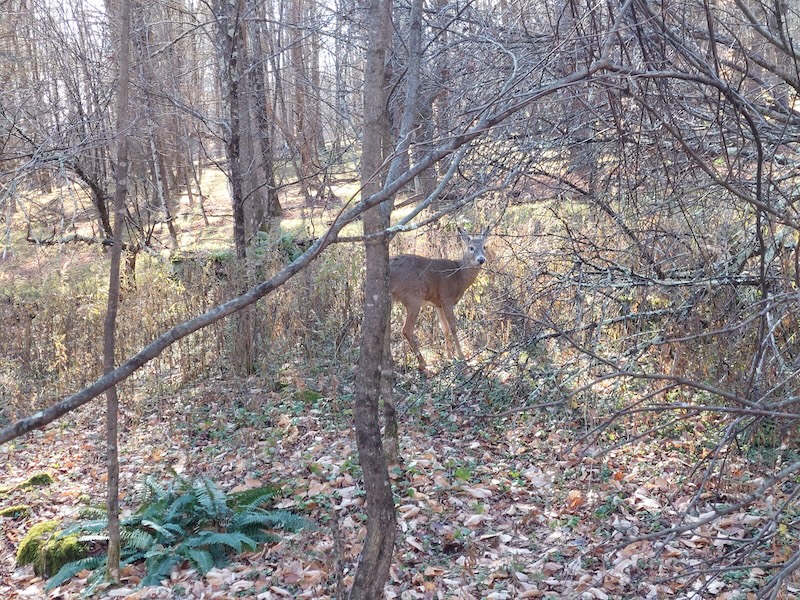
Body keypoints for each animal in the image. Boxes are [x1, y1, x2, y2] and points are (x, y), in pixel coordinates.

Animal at [389, 226, 489, 372]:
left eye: (484, 246)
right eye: (471, 248)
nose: (481, 259)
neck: (459, 275)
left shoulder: (438, 303)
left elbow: (444, 327)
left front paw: (449, 355)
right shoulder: (446, 297)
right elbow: (453, 326)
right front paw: (461, 356)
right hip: (413, 296)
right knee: (406, 330)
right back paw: (423, 364)